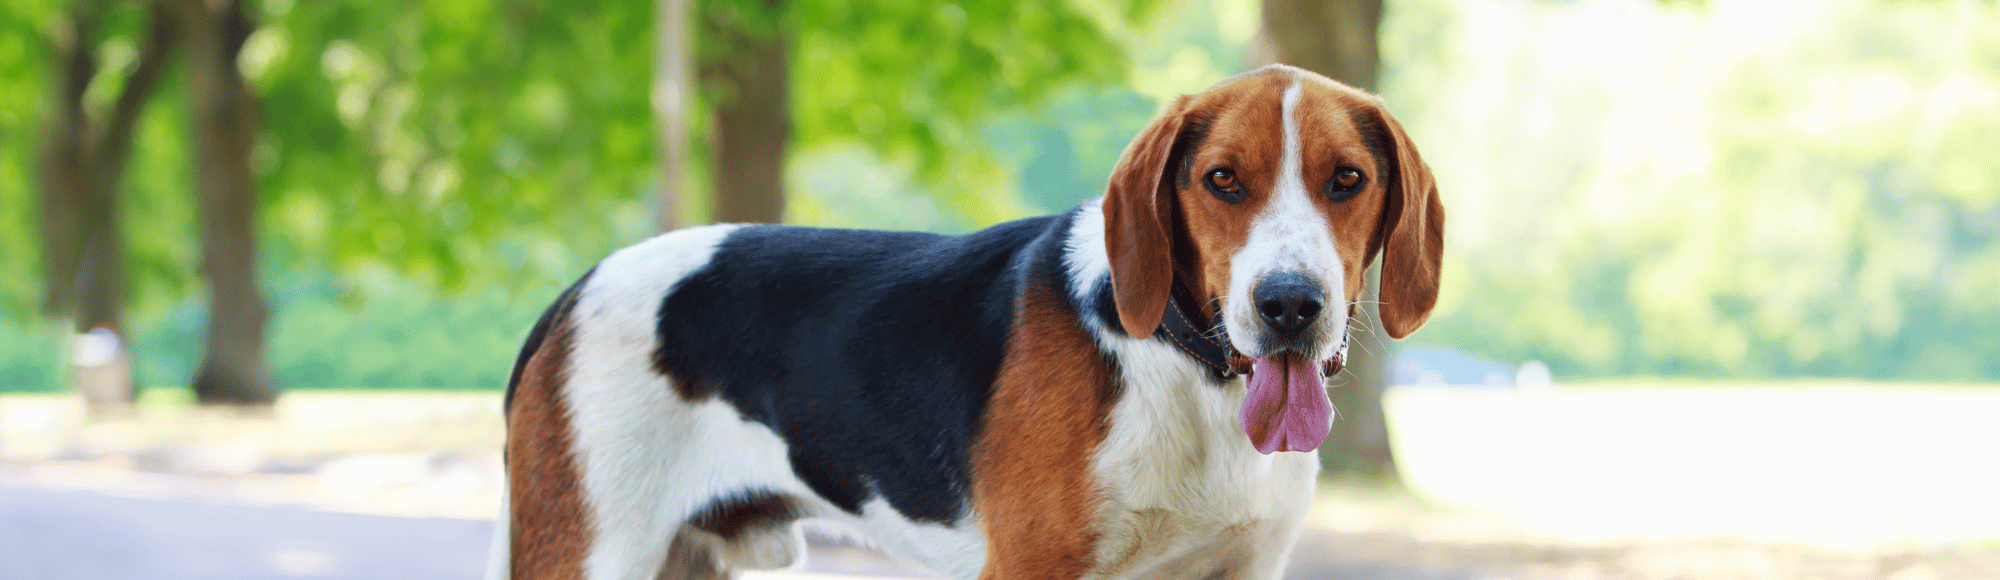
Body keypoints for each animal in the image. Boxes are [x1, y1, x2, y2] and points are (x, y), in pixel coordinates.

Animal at [492, 64, 1448, 580]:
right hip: (593, 553)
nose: (1290, 305)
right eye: (1221, 180)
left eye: (1347, 180)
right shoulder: (1032, 564)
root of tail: (573, 292)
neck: (1188, 377)